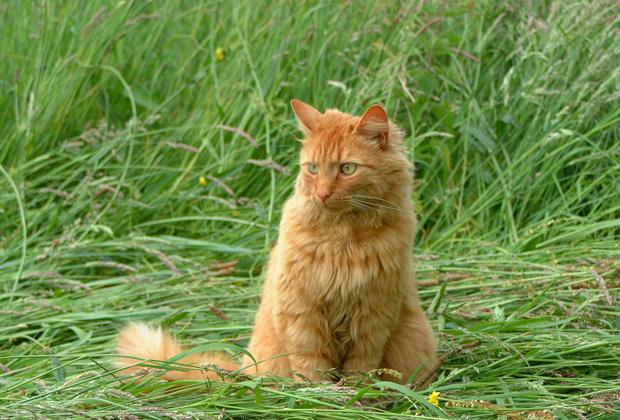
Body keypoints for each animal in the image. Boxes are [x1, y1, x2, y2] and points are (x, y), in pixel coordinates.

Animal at [116, 100, 436, 386]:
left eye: (347, 169)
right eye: (313, 168)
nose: (322, 194)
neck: (342, 240)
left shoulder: (373, 318)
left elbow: (361, 370)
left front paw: (356, 399)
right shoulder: (302, 313)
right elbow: (311, 367)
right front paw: (316, 398)